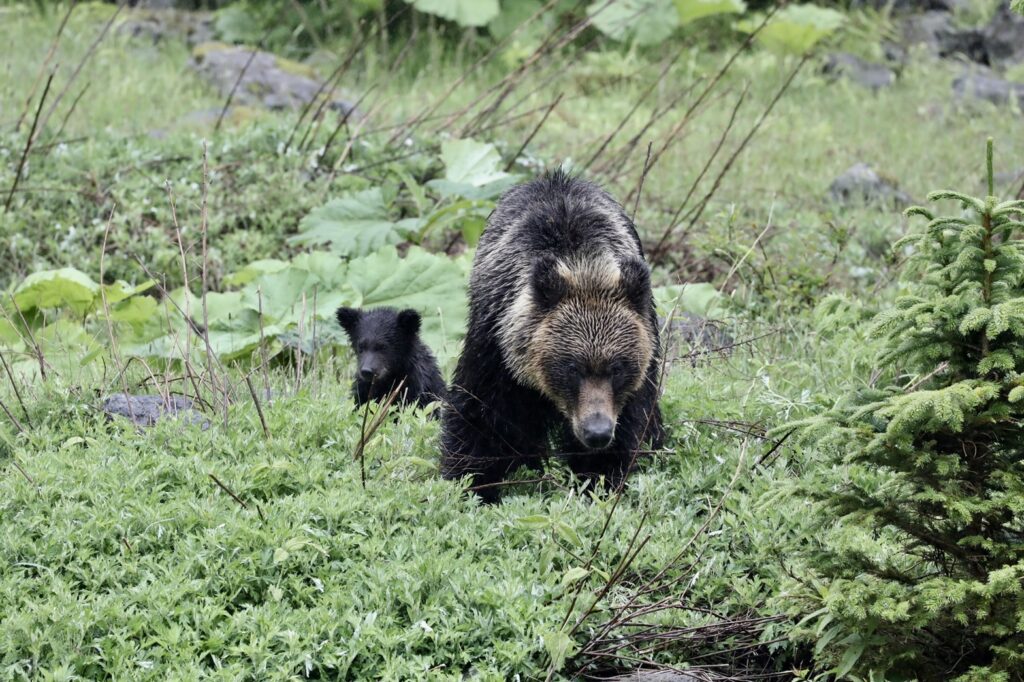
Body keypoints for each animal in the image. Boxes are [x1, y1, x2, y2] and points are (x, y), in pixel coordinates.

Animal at [438, 169, 663, 499]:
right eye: (571, 368)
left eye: (618, 368)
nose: (596, 432)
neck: (582, 264)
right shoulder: (496, 347)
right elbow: (480, 417)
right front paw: (473, 482)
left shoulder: (640, 368)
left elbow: (630, 425)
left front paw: (599, 478)